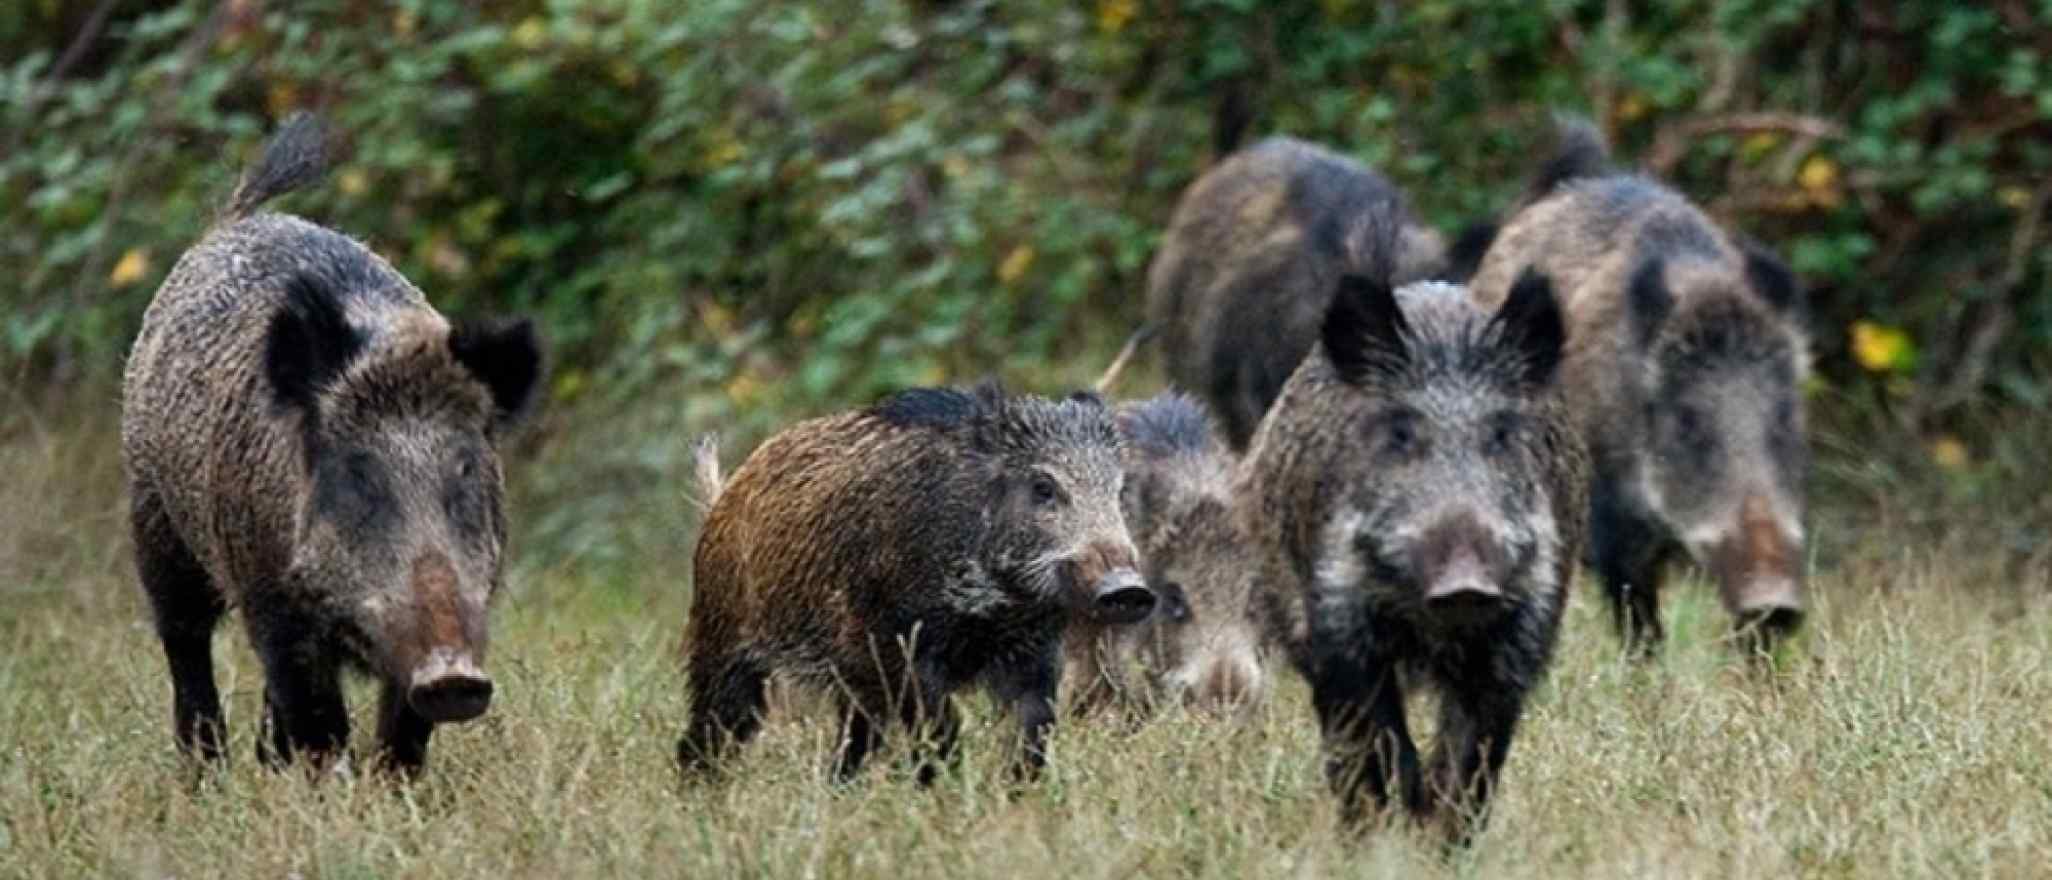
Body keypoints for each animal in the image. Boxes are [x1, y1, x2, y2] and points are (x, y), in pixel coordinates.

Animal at [121, 113, 545, 776]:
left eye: (466, 470)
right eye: (358, 475)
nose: (454, 676)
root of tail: (230, 220)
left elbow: (403, 732)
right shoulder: (273, 601)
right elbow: (318, 719)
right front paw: (324, 787)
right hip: (155, 516)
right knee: (184, 641)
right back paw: (206, 776)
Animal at [678, 383, 1154, 785]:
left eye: (1118, 490)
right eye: (1042, 486)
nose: (1128, 589)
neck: (992, 606)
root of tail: (723, 496)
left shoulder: (1035, 649)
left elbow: (1034, 724)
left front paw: (1015, 793)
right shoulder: (898, 644)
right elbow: (939, 725)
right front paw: (945, 790)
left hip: (851, 681)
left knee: (853, 742)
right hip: (722, 640)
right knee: (710, 728)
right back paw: (698, 797)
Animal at [1238, 271, 1587, 841]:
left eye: (1501, 434)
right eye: (1400, 433)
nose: (1465, 584)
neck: (1432, 627)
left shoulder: (1519, 634)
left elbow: (1475, 751)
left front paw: (1442, 835)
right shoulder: (1339, 621)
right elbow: (1372, 732)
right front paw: (1392, 826)